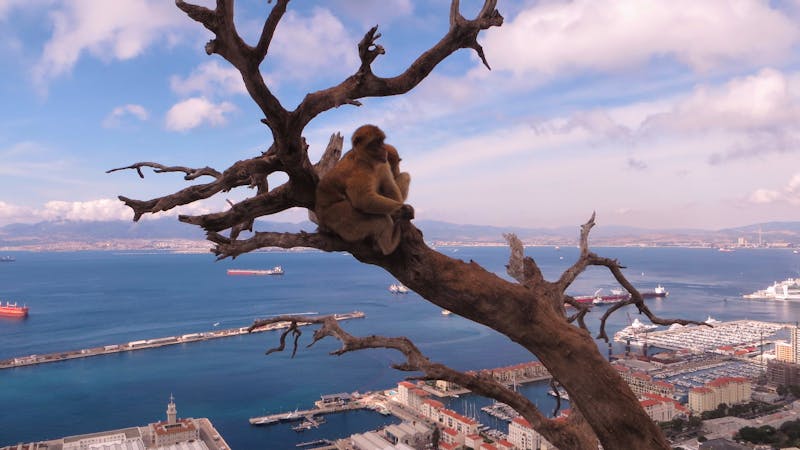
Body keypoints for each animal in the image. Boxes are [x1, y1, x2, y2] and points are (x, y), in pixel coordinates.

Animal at [315, 125, 413, 255]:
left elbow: (389, 186)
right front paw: (402, 210)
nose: (383, 149)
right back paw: (390, 246)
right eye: (375, 143)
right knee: (379, 218)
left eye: (381, 141)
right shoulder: (359, 171)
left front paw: (401, 211)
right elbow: (363, 199)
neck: (368, 161)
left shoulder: (383, 163)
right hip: (337, 218)